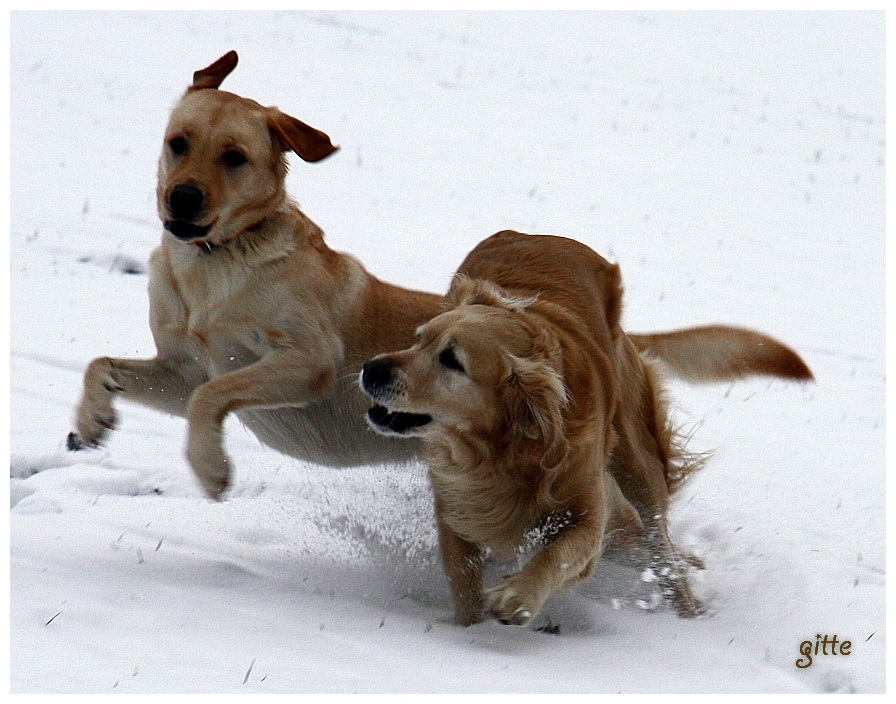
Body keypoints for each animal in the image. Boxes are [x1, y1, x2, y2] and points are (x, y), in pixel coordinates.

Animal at [67, 52, 444, 498]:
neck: (214, 259)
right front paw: (92, 420)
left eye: (234, 157)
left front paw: (210, 466)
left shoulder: (309, 359)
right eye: (178, 142)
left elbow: (211, 394)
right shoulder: (182, 372)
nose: (183, 197)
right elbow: (101, 364)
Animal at [358, 231, 812, 628]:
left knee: (659, 544)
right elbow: (463, 577)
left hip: (637, 459)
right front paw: (469, 630)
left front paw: (517, 596)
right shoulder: (458, 508)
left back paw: (688, 610)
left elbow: (557, 554)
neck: (502, 454)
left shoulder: (587, 513)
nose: (371, 369)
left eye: (452, 360)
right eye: (417, 339)